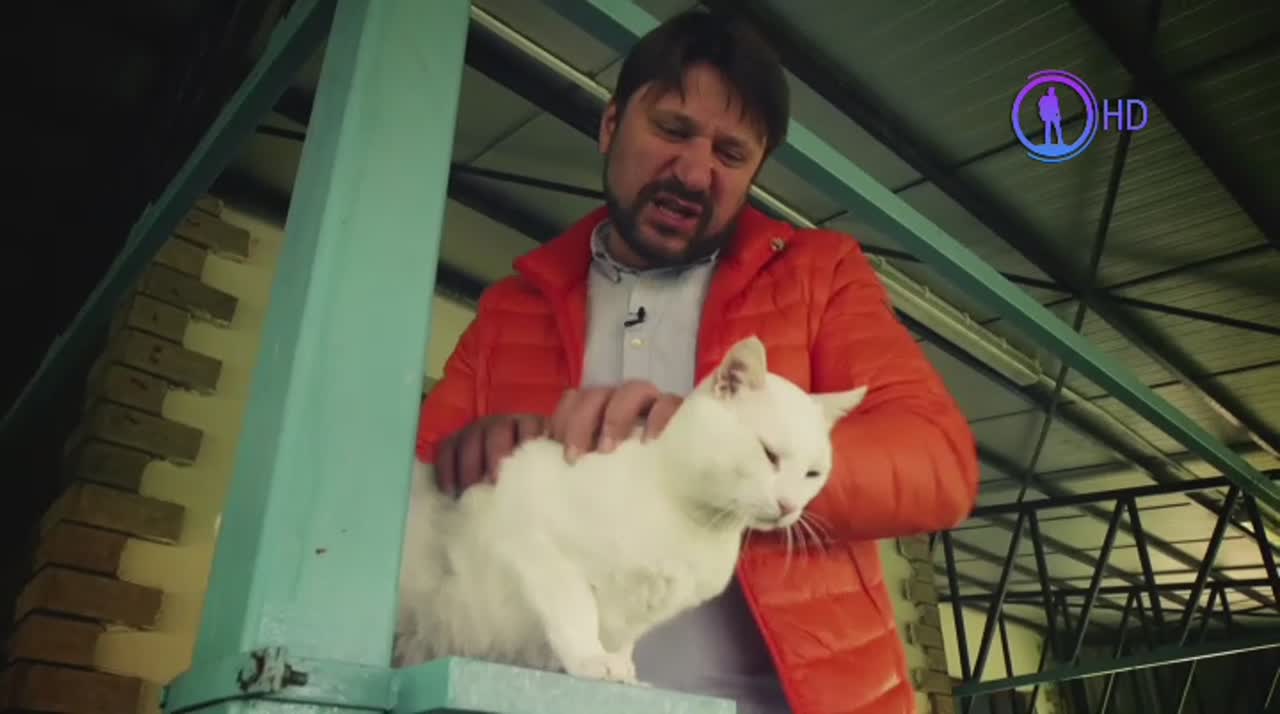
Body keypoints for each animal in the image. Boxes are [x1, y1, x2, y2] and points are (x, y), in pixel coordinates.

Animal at [392, 335, 868, 685]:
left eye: (813, 473)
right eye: (769, 454)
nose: (790, 506)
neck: (692, 520)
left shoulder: (645, 609)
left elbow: (623, 636)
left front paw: (620, 665)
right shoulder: (536, 543)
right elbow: (577, 610)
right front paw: (589, 658)